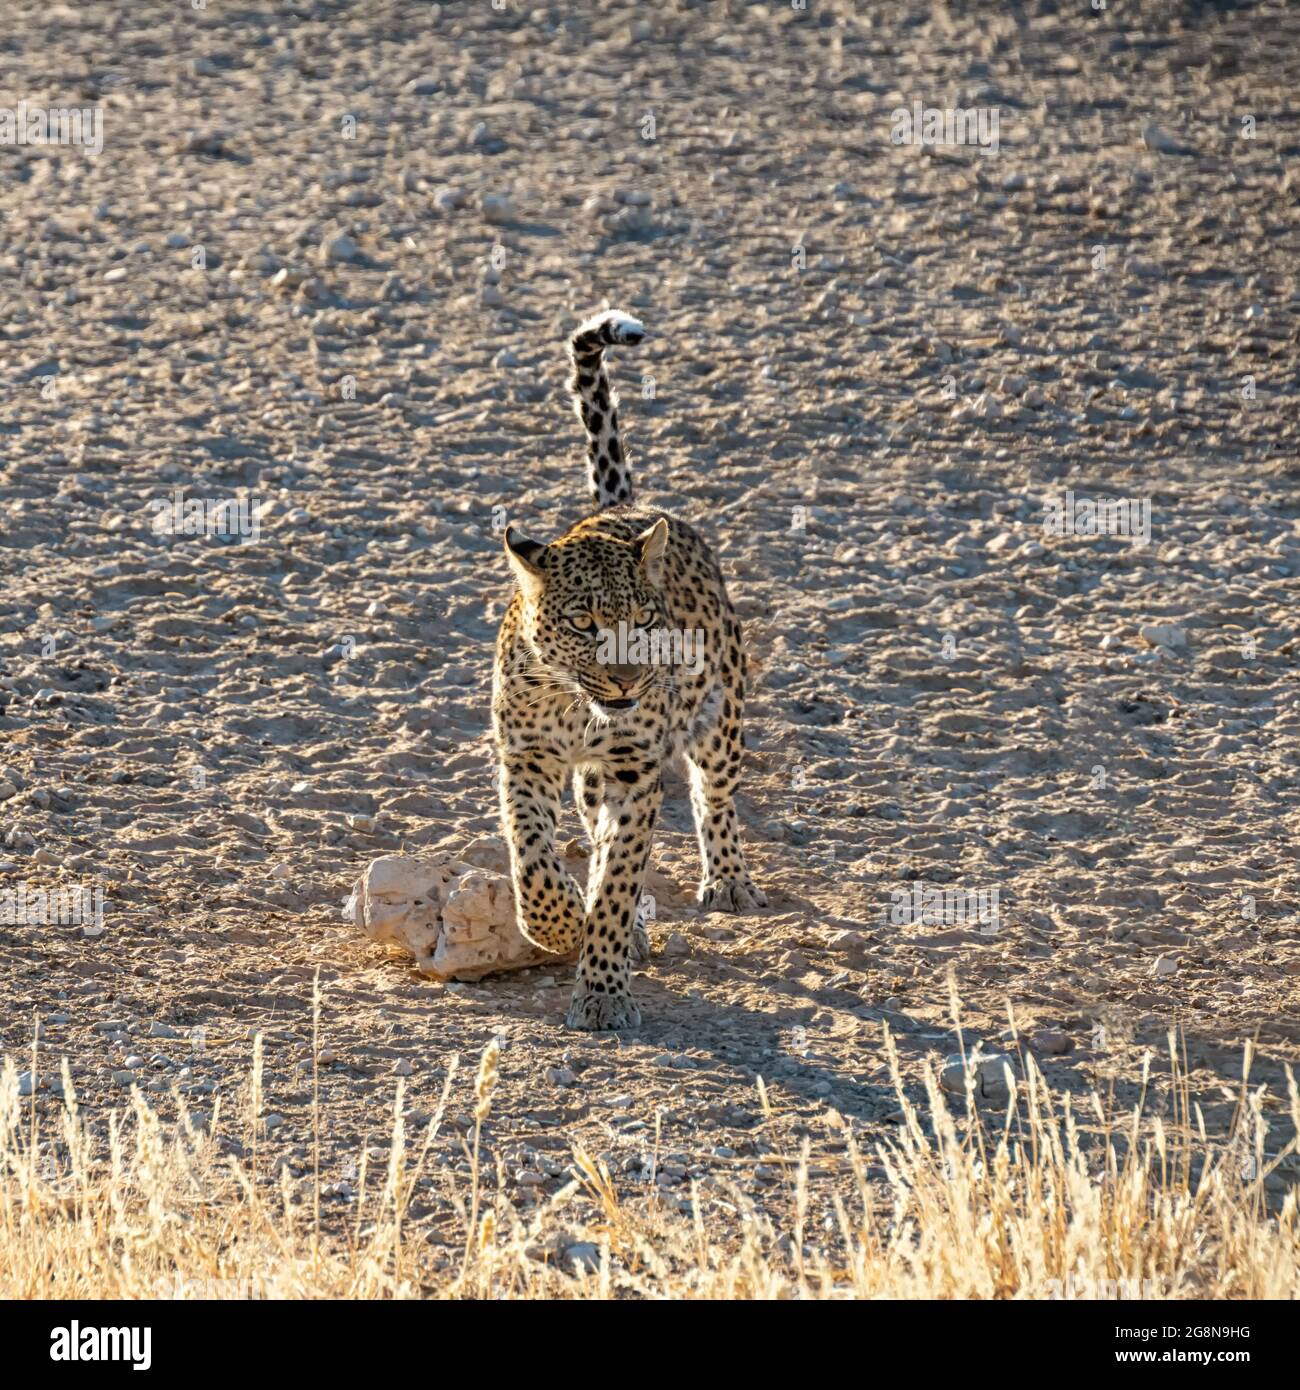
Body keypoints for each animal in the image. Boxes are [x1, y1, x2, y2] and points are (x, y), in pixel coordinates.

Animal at [491, 308, 766, 1031]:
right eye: (584, 624)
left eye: (642, 622)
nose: (626, 683)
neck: (573, 706)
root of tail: (622, 507)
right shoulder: (525, 757)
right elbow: (531, 853)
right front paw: (558, 923)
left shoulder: (633, 771)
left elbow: (619, 880)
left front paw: (602, 989)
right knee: (592, 830)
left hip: (722, 718)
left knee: (712, 794)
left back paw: (728, 879)